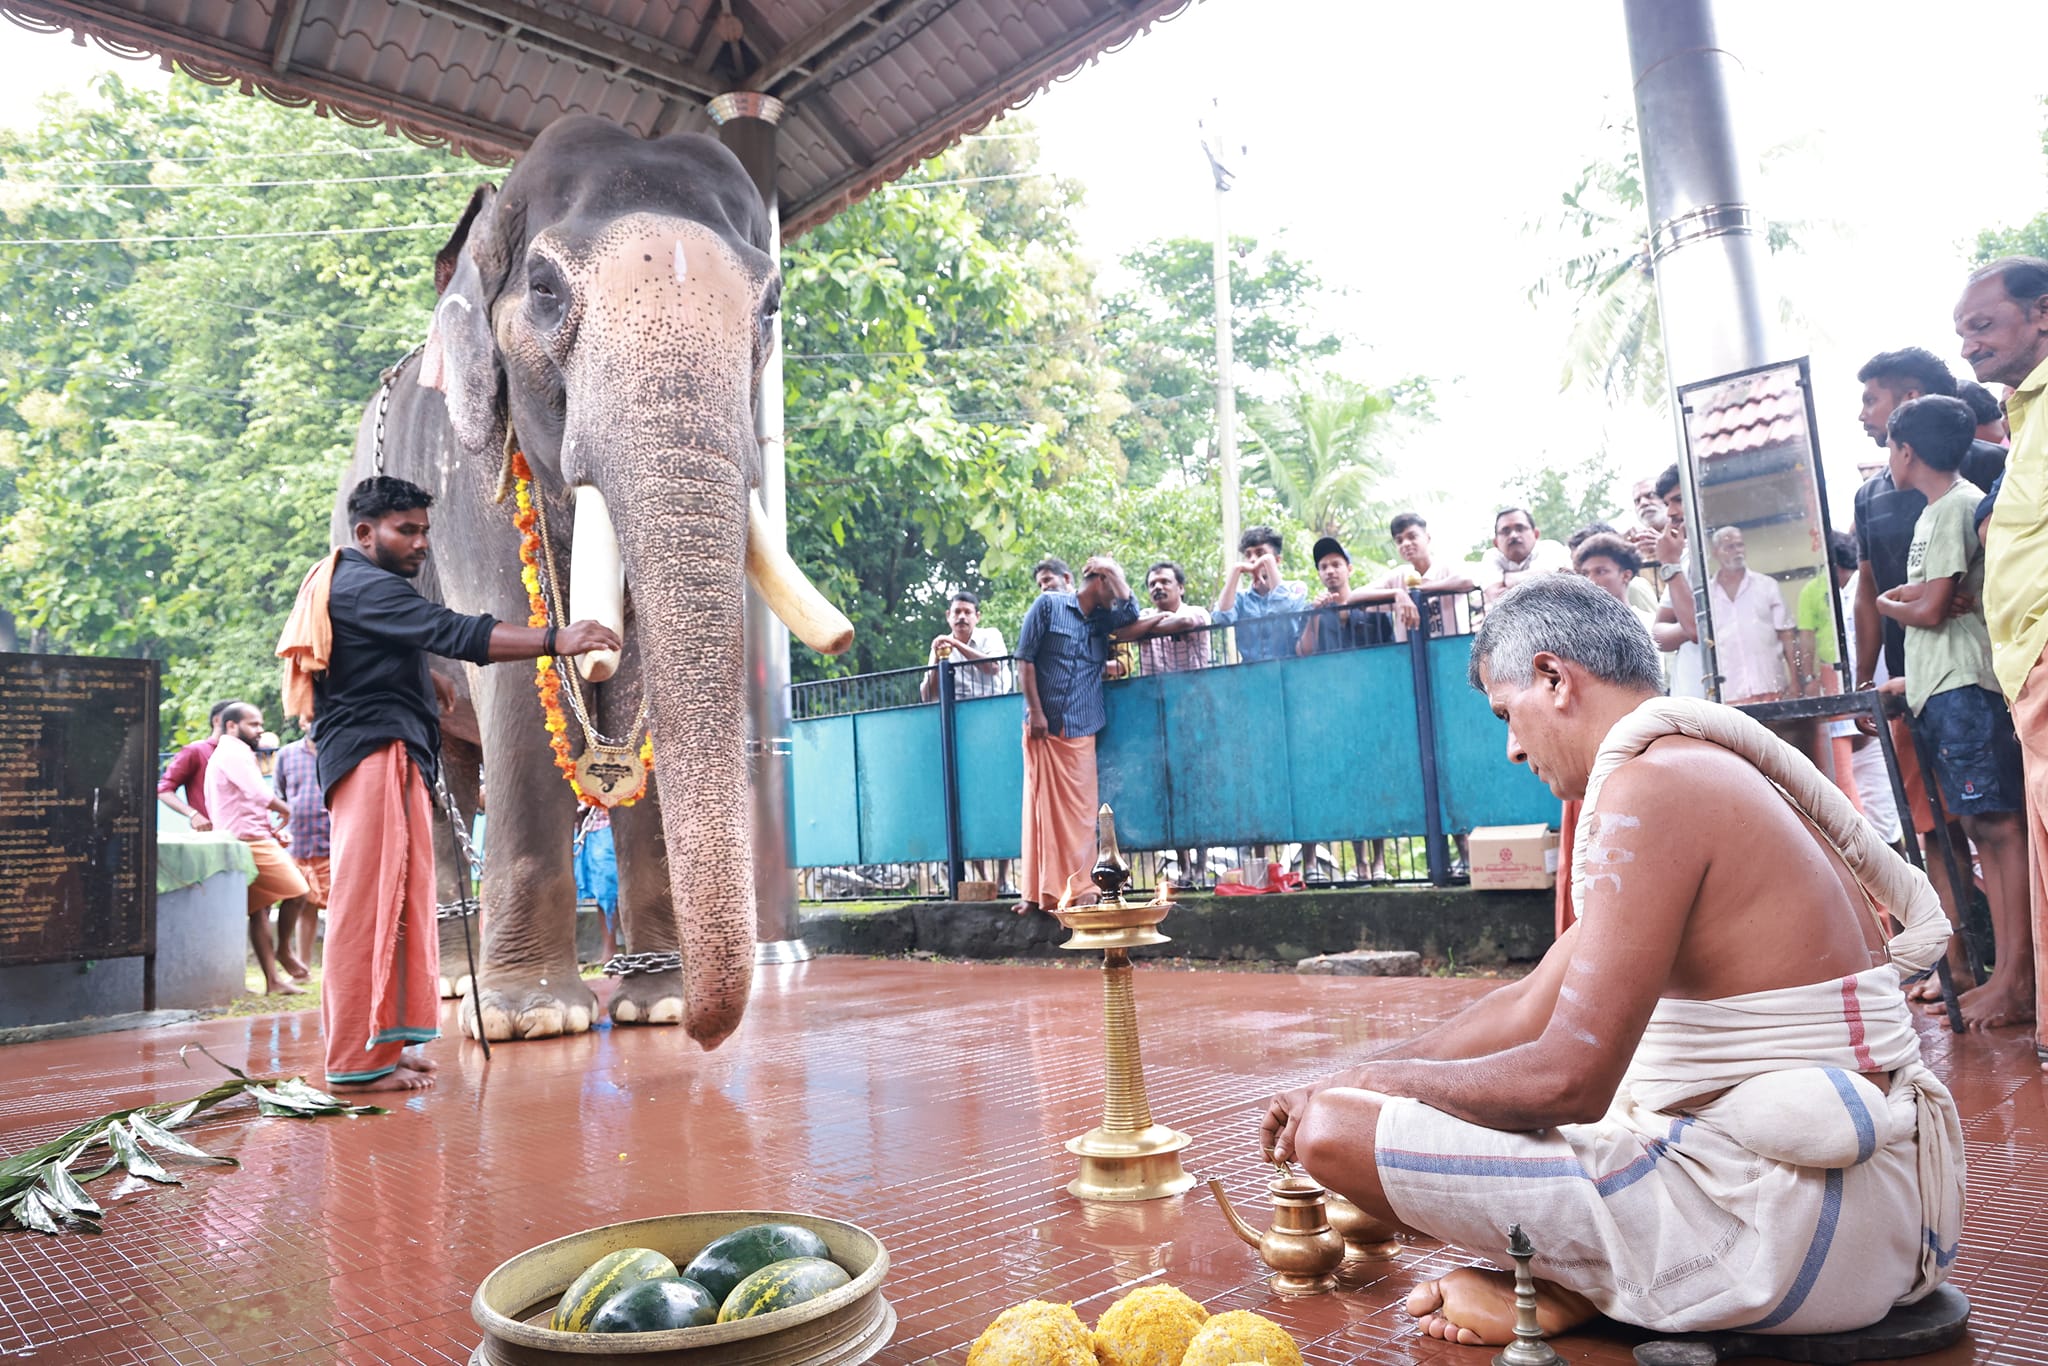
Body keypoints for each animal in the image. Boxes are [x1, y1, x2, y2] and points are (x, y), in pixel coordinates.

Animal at [327, 117, 847, 1056]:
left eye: (771, 308)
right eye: (542, 288)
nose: (708, 1036)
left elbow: (636, 692)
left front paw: (659, 1005)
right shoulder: (470, 481)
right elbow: (511, 683)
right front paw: (530, 1019)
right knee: (439, 772)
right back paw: (454, 993)